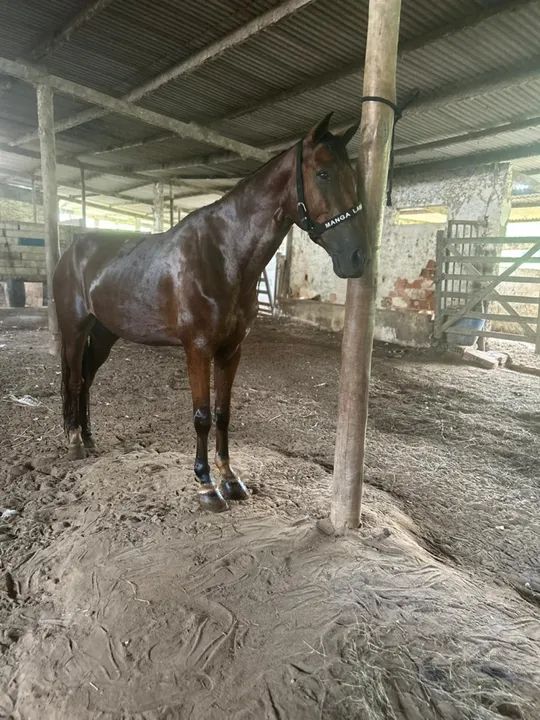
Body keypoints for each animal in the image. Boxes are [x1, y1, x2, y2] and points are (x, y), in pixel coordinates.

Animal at [53, 112, 367, 512]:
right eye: (323, 173)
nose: (357, 256)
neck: (222, 255)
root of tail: (72, 248)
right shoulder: (198, 348)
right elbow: (201, 416)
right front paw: (205, 486)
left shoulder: (231, 350)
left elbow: (223, 413)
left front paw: (230, 479)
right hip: (75, 329)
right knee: (74, 380)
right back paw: (74, 441)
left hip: (105, 333)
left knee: (87, 380)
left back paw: (90, 438)